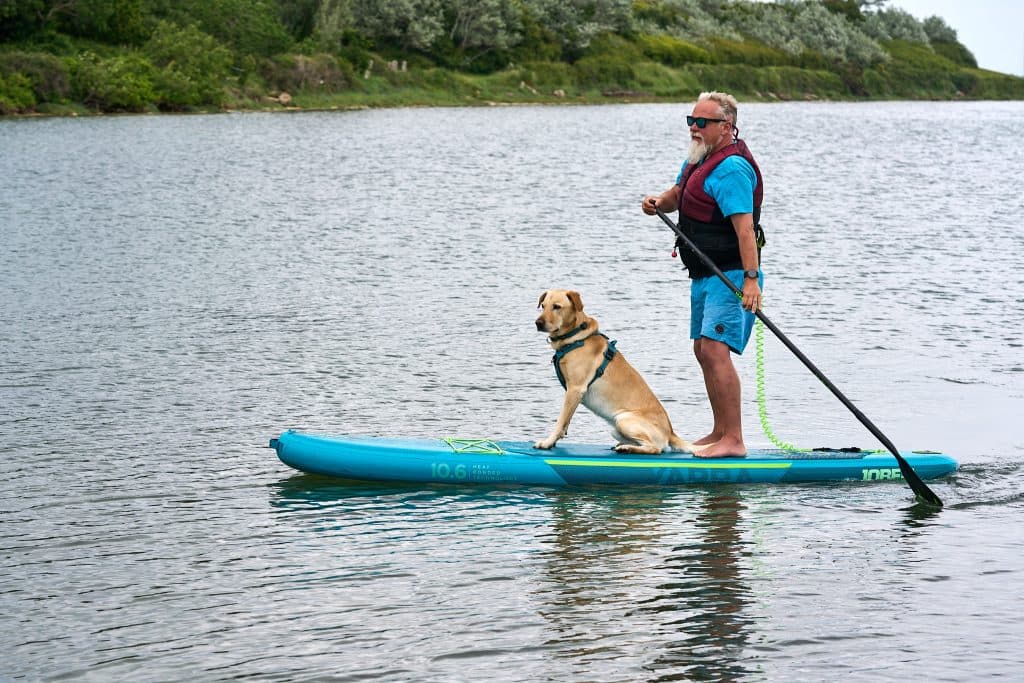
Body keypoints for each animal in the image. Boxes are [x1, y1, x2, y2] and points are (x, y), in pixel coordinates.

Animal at [532, 288, 692, 454]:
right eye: (543, 306)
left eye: (557, 306)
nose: (538, 323)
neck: (576, 338)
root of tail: (671, 432)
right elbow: (565, 423)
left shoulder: (575, 390)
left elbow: (560, 421)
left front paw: (547, 442)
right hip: (615, 429)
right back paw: (623, 445)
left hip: (623, 420)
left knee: (655, 449)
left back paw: (627, 448)